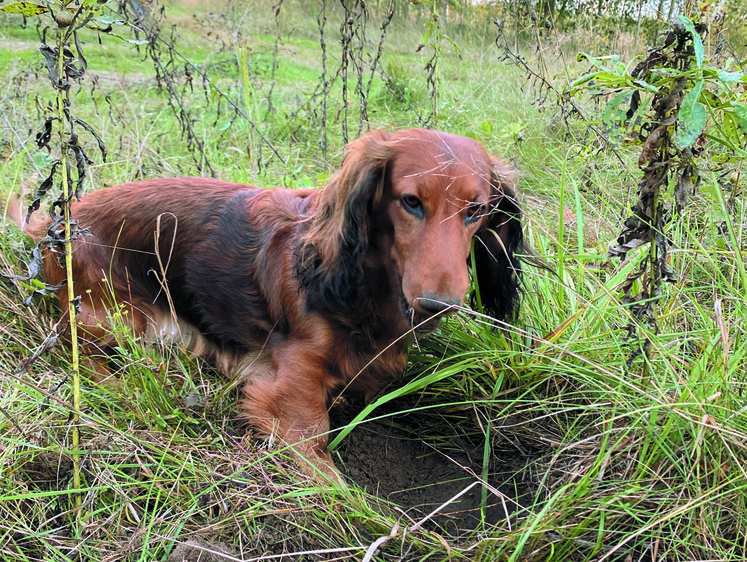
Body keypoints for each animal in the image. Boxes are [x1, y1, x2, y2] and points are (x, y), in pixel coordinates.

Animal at [16, 129, 520, 480]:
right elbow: (326, 467)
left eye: (477, 211)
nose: (439, 305)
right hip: (118, 317)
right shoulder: (288, 392)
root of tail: (56, 222)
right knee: (78, 350)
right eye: (411, 201)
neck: (359, 284)